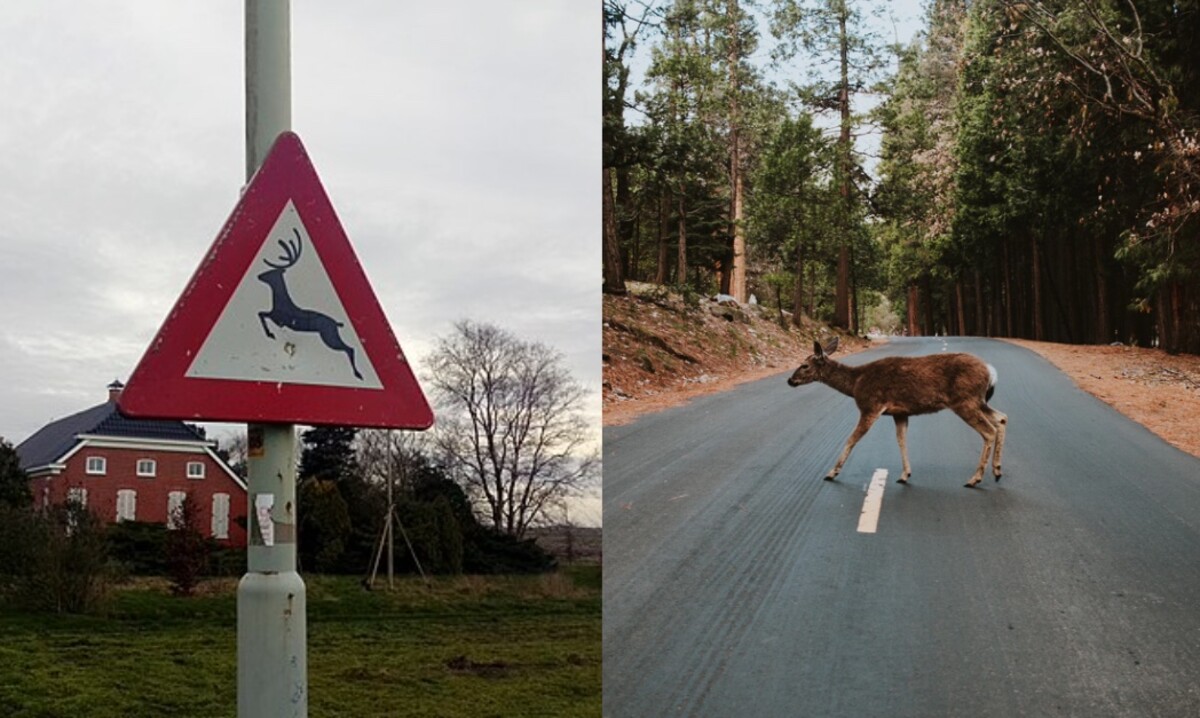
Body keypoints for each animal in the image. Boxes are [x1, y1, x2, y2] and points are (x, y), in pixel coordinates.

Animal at [255, 230, 362, 381]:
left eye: (269, 273)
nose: (258, 276)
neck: (280, 301)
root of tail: (336, 323)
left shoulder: (279, 318)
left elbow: (261, 314)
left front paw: (270, 334)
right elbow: (261, 313)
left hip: (329, 337)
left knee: (349, 348)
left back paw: (358, 374)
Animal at [792, 338, 1008, 489]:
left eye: (804, 365)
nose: (790, 380)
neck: (855, 384)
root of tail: (991, 371)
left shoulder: (871, 406)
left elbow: (852, 439)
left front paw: (831, 473)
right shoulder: (900, 413)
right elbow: (901, 440)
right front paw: (905, 475)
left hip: (965, 400)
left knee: (989, 430)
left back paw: (974, 479)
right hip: (978, 401)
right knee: (1001, 418)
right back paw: (997, 472)